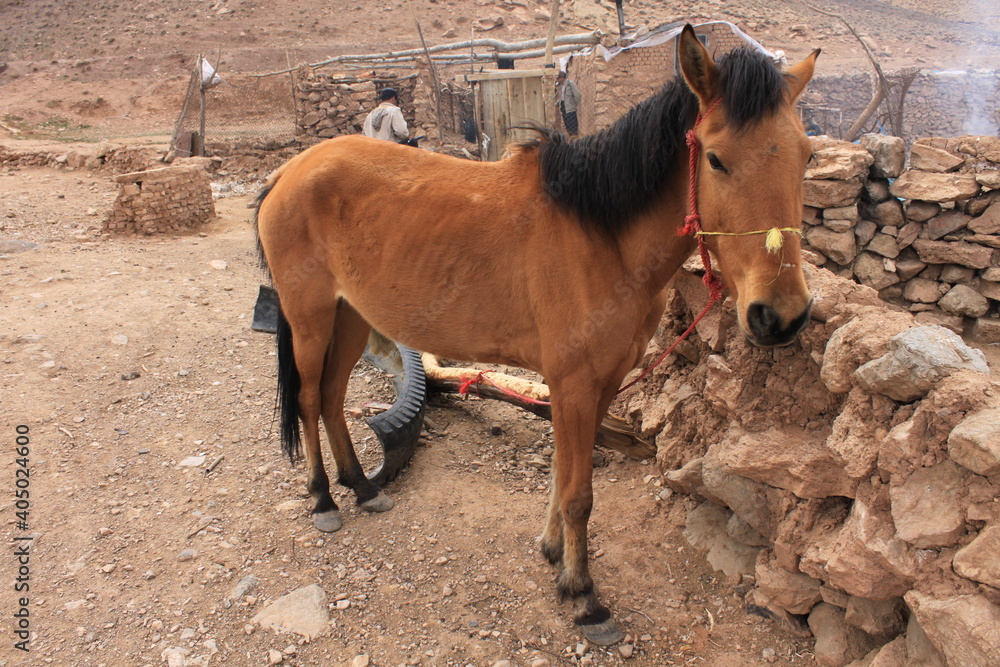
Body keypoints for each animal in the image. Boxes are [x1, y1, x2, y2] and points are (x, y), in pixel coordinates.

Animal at [254, 25, 819, 645]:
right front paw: (585, 597)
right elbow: (579, 494)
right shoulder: (572, 384)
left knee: (332, 399)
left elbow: (565, 473)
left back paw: (362, 487)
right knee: (310, 399)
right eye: (715, 159)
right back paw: (323, 499)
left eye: (807, 156)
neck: (602, 237)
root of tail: (289, 172)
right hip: (310, 317)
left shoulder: (601, 384)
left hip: (351, 315)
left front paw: (553, 554)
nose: (781, 315)